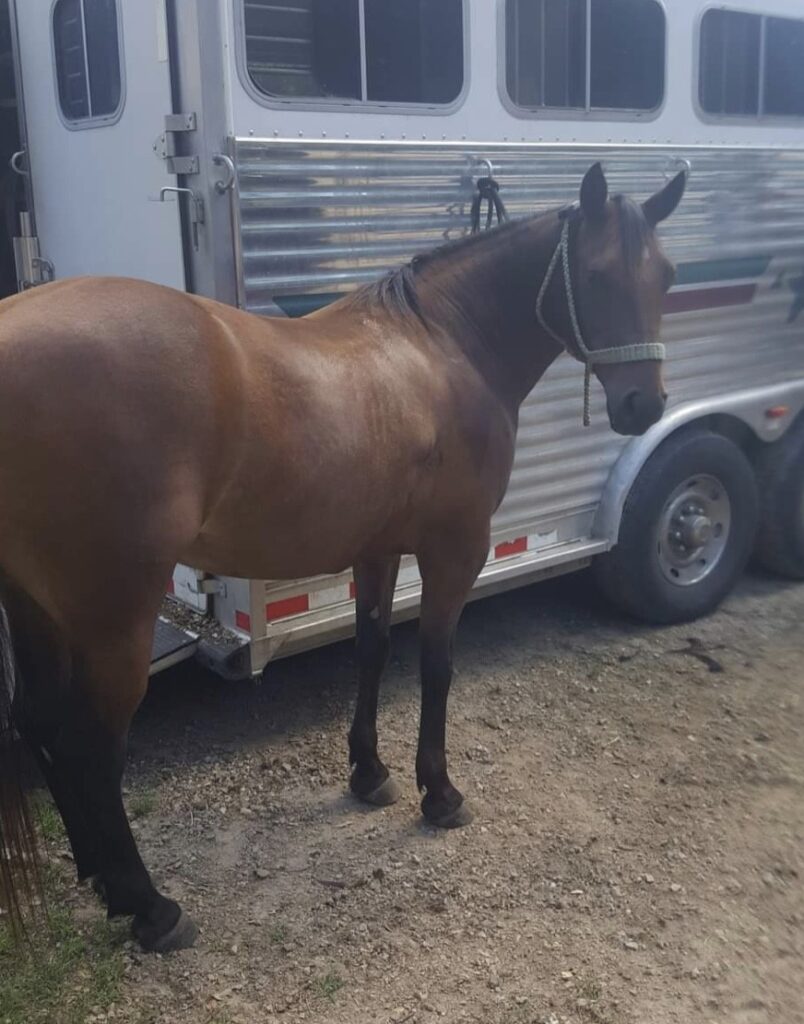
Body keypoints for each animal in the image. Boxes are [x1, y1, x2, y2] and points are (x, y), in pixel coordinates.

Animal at [0, 163, 685, 952]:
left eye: (667, 275)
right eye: (597, 275)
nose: (642, 406)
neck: (444, 345)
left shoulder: (378, 547)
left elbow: (372, 651)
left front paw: (369, 773)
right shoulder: (456, 548)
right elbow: (436, 665)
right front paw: (439, 793)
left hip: (36, 605)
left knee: (41, 724)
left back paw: (99, 875)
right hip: (114, 616)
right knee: (91, 744)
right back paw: (149, 907)